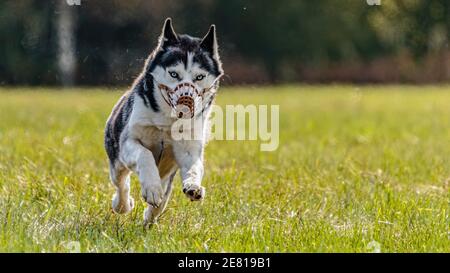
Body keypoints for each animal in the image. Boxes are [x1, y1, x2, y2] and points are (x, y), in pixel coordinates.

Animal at [104, 18, 223, 224]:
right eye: (174, 74)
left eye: (199, 77)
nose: (186, 99)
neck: (167, 123)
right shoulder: (129, 141)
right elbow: (144, 155)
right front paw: (151, 188)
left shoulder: (188, 147)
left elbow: (194, 168)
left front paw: (193, 186)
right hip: (116, 160)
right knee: (121, 184)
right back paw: (123, 205)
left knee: (163, 196)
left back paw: (150, 216)